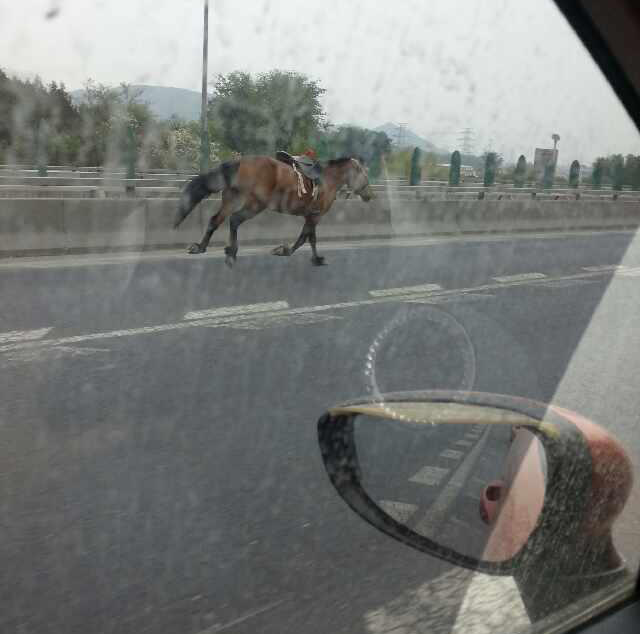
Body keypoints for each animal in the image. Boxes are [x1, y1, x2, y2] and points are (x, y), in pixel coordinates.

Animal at [173, 155, 374, 267]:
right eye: (365, 175)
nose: (369, 195)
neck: (328, 180)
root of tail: (241, 161)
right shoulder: (315, 216)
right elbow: (308, 238)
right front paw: (309, 257)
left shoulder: (310, 215)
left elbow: (306, 237)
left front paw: (286, 251)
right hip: (254, 204)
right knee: (233, 220)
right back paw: (228, 252)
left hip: (231, 199)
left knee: (218, 220)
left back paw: (207, 248)